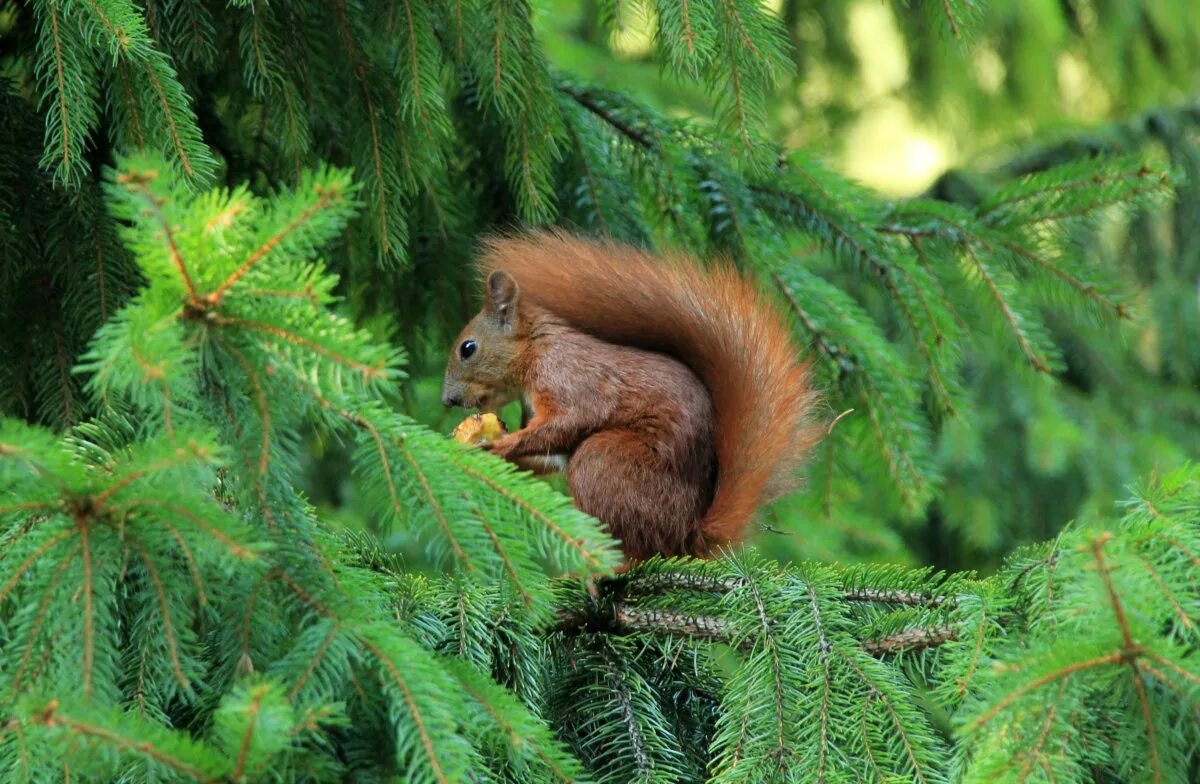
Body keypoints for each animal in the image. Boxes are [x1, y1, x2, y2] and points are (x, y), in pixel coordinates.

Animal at [441, 229, 825, 559]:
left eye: (468, 348)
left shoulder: (572, 378)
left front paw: (501, 444)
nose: (448, 401)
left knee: (638, 549)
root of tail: (687, 534)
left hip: (605, 462)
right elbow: (549, 455)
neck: (536, 350)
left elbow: (573, 420)